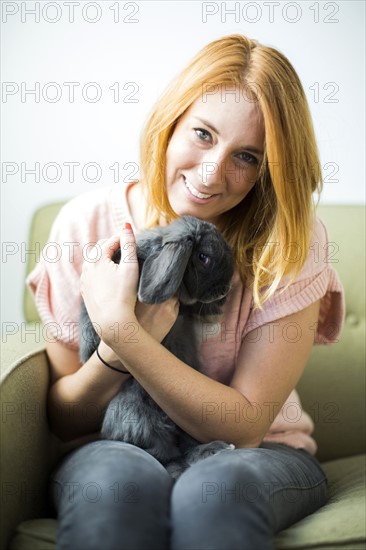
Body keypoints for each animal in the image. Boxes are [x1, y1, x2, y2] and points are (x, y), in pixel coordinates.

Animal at [79, 216, 236, 478]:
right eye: (203, 257)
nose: (224, 291)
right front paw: (87, 348)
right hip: (135, 414)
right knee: (167, 455)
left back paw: (215, 449)